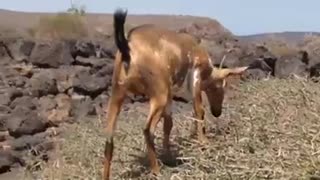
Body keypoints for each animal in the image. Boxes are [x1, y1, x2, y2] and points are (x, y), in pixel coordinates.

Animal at [104, 8, 249, 180]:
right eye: (220, 86)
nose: (217, 112)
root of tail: (127, 47)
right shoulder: (194, 79)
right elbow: (199, 110)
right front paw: (203, 142)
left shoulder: (170, 95)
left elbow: (169, 123)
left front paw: (169, 155)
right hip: (157, 96)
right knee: (148, 130)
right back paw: (156, 170)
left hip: (118, 95)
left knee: (109, 140)